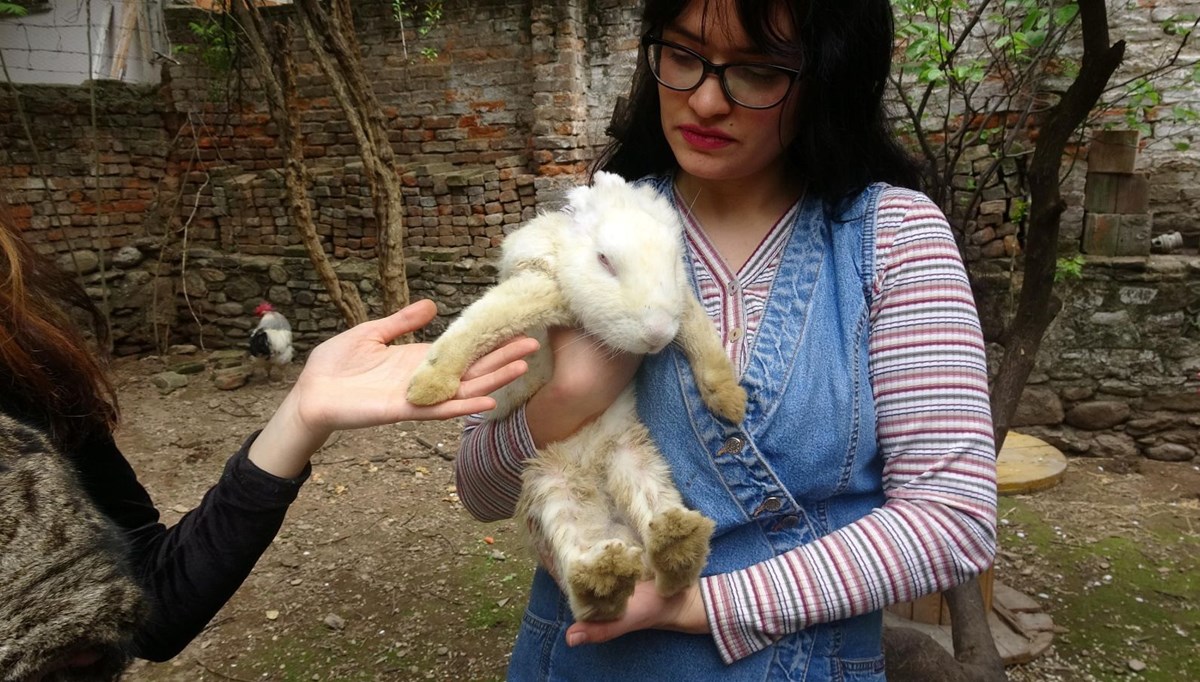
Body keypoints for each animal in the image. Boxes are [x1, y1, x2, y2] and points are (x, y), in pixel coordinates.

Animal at [408, 169, 744, 619]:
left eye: (674, 263)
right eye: (604, 261)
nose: (656, 335)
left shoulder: (683, 309)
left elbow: (701, 337)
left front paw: (730, 400)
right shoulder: (538, 281)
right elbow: (483, 321)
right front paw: (427, 387)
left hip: (636, 461)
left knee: (659, 542)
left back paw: (675, 541)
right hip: (550, 490)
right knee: (583, 583)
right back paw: (607, 574)